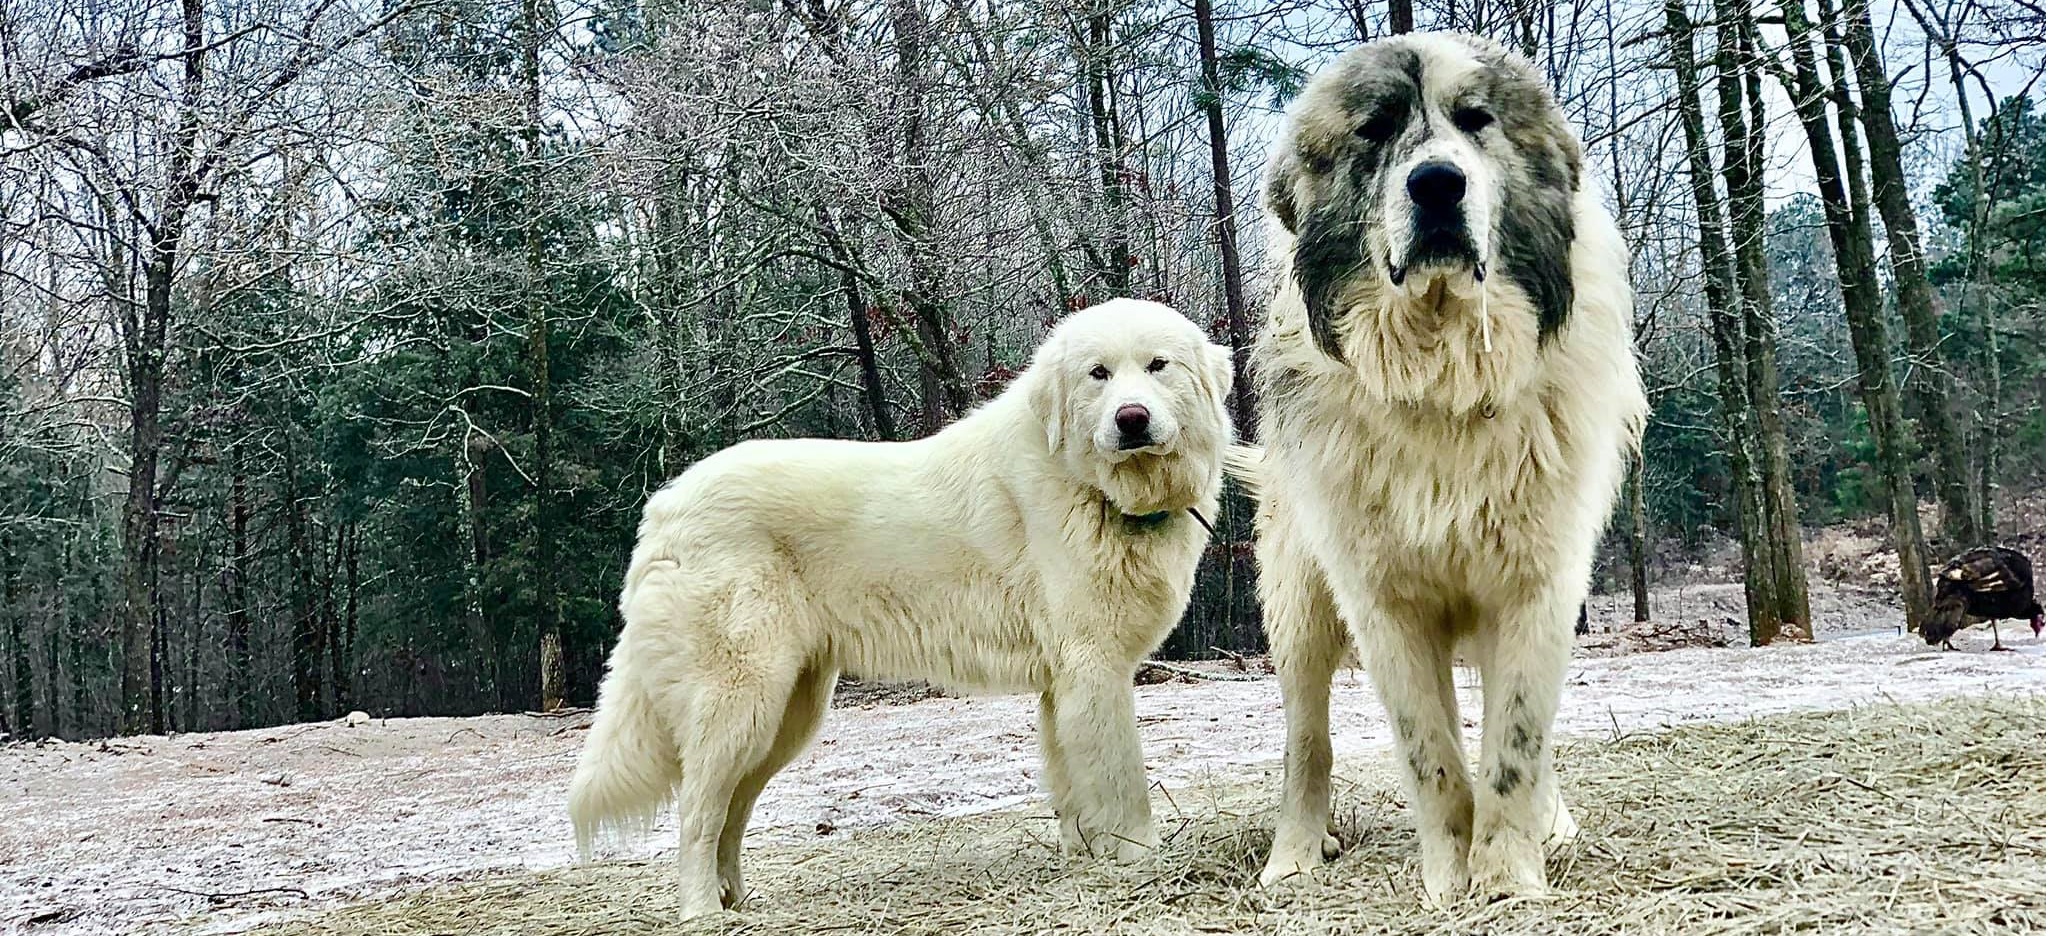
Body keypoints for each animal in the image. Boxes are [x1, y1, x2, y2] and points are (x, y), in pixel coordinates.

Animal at [565, 301, 1228, 917]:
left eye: (1158, 366)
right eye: (1098, 374)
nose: (1131, 418)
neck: (1093, 487)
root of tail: (665, 506)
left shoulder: (1061, 686)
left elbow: (1071, 789)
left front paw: (1083, 861)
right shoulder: (1095, 671)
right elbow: (1124, 782)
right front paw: (1142, 858)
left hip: (785, 717)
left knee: (730, 812)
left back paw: (738, 902)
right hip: (741, 704)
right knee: (696, 813)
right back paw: (703, 909)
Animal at [1228, 32, 1646, 901]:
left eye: (1476, 119)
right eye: (1377, 128)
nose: (1438, 183)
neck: (1447, 380)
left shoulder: (1537, 585)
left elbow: (1515, 744)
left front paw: (1511, 877)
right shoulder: (1384, 604)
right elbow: (1433, 756)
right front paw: (1452, 879)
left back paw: (1552, 826)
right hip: (1299, 605)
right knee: (1306, 739)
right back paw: (1293, 854)